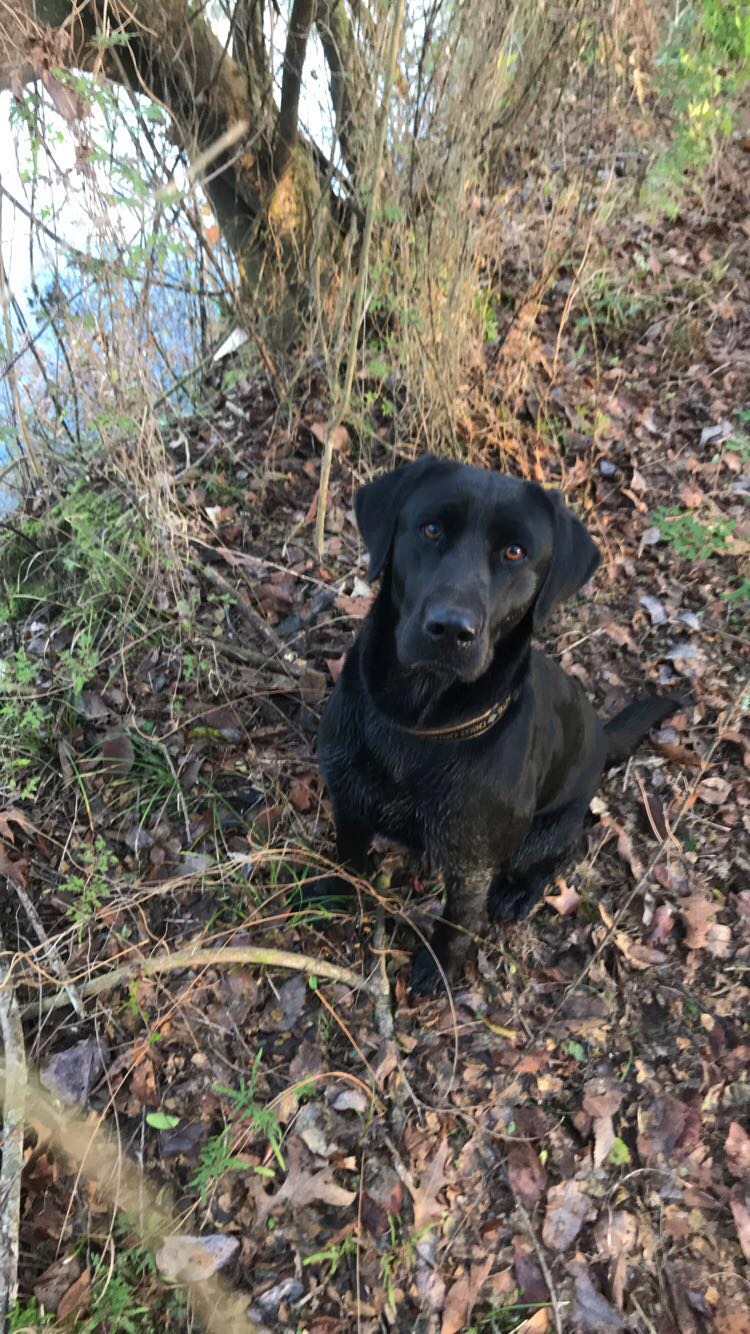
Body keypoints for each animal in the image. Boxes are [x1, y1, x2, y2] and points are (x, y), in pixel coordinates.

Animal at [312, 456, 675, 992]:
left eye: (514, 551)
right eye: (431, 528)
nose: (450, 630)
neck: (417, 723)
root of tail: (601, 736)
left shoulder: (472, 863)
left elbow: (458, 920)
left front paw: (439, 969)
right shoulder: (349, 801)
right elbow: (347, 858)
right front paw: (338, 897)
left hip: (544, 832)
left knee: (566, 848)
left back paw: (519, 892)